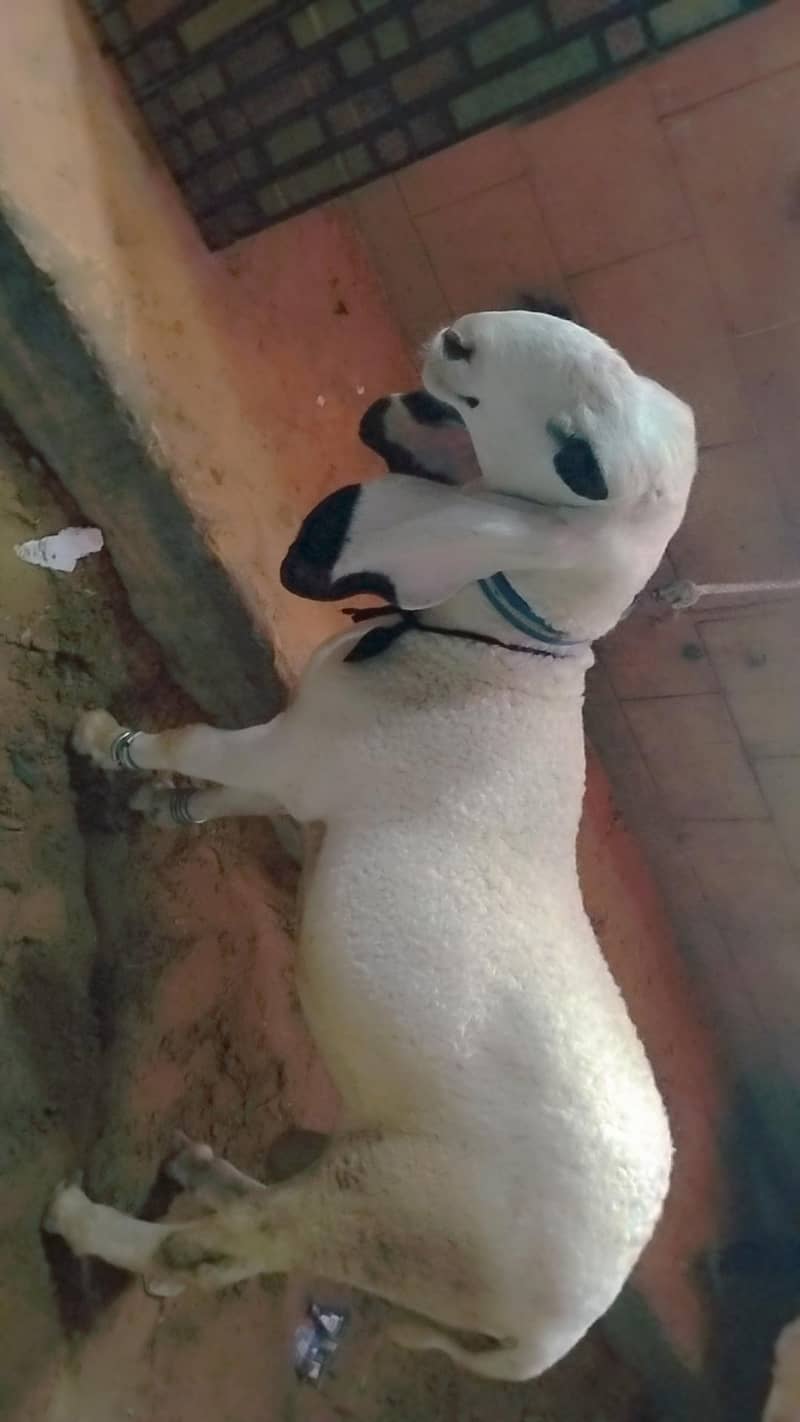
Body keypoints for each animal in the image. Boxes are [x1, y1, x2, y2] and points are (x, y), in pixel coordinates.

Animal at [46, 310, 697, 1382]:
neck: (494, 661)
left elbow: (192, 745)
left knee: (218, 1252)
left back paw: (92, 1222)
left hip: (395, 1209)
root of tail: (552, 1336)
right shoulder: (304, 768)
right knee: (237, 1251)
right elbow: (219, 794)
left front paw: (103, 742)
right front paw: (159, 809)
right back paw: (204, 1171)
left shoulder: (296, 751)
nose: (462, 338)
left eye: (579, 461)